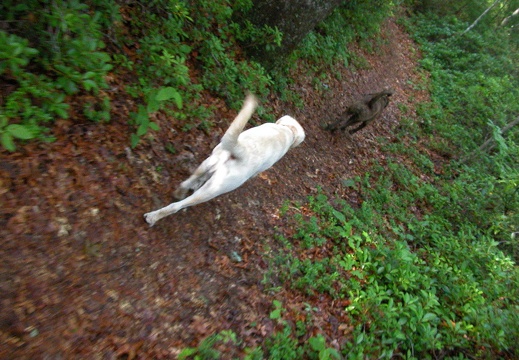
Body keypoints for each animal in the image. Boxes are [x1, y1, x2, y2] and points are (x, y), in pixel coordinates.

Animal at [143, 94, 304, 226]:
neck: (287, 130)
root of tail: (241, 152)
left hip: (209, 161)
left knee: (187, 182)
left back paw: (179, 192)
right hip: (215, 189)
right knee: (177, 206)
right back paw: (153, 217)